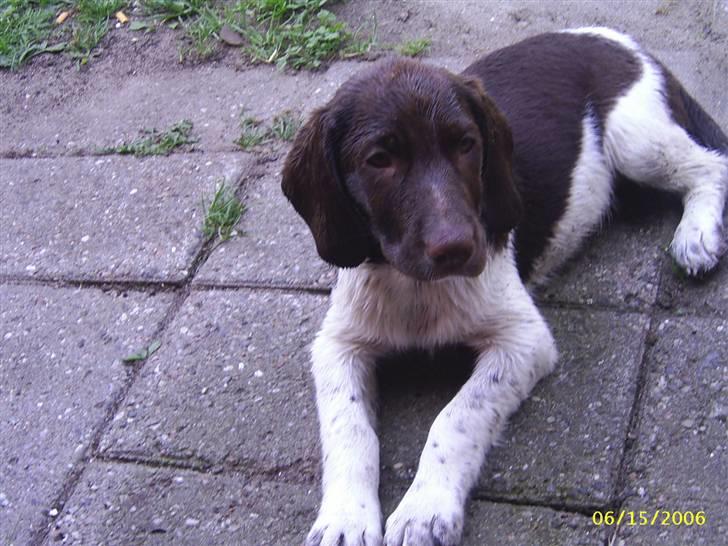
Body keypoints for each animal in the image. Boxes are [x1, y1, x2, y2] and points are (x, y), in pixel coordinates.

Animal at [280, 26, 728, 544]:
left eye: (466, 144)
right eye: (379, 160)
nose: (456, 247)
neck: (417, 289)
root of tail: (617, 38)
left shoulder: (523, 341)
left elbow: (456, 417)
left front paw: (424, 509)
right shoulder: (338, 345)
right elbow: (348, 427)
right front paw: (345, 518)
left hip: (635, 140)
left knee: (712, 166)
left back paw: (696, 236)